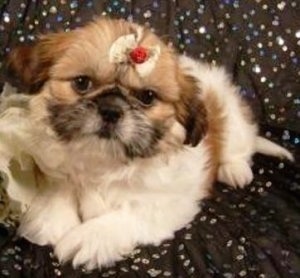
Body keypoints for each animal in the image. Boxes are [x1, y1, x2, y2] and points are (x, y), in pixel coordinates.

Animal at [3, 17, 292, 270]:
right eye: (82, 83)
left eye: (147, 97)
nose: (110, 110)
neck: (104, 162)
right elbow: (60, 185)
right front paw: (53, 218)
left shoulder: (170, 204)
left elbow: (131, 214)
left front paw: (90, 238)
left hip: (231, 115)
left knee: (240, 144)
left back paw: (235, 169)